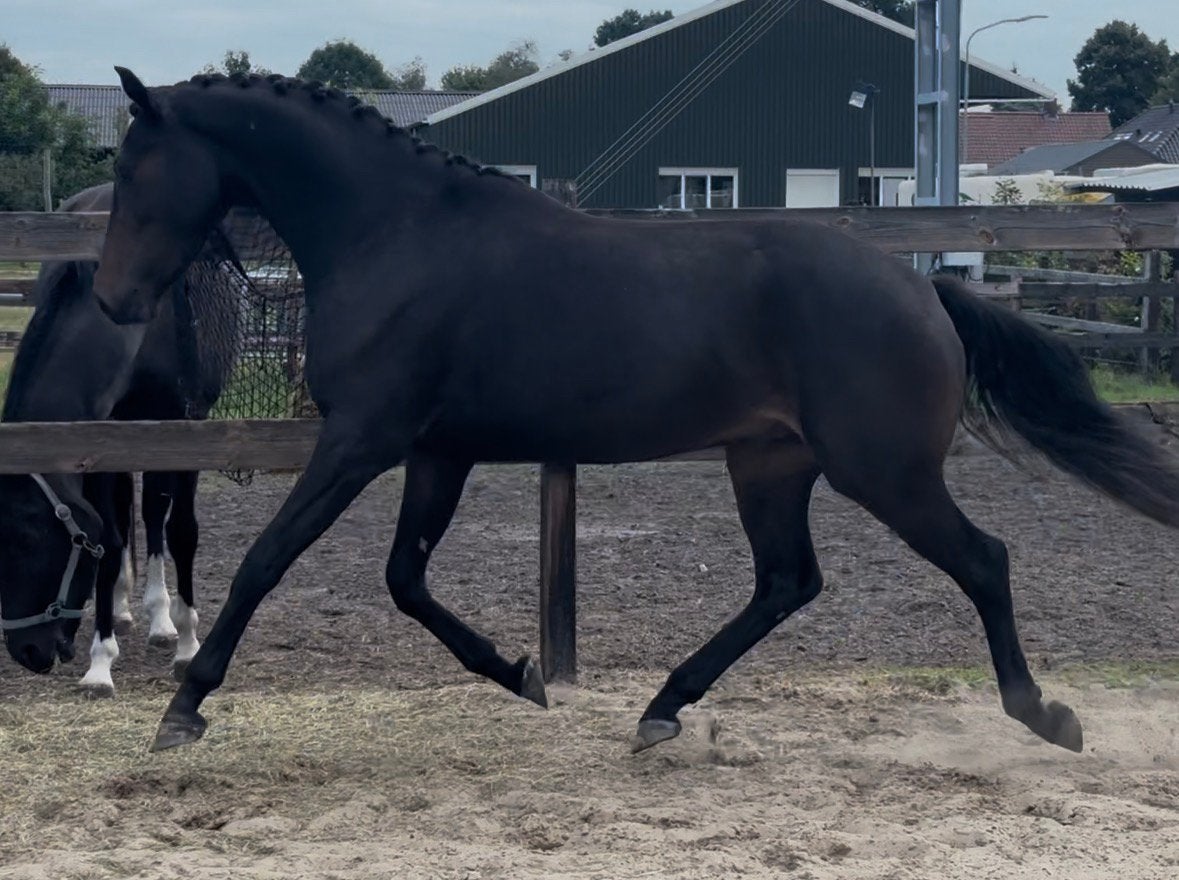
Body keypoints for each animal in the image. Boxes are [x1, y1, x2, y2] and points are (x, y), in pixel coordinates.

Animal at [0, 181, 240, 694]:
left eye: (28, 539)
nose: (26, 651)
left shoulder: (186, 429)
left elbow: (181, 530)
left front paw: (188, 644)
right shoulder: (100, 444)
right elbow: (108, 541)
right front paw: (100, 660)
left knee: (153, 514)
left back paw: (162, 620)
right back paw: (126, 608)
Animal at [89, 67, 1179, 755]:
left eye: (136, 168)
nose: (110, 300)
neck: (395, 234)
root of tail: (923, 290)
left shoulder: (363, 440)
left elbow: (270, 559)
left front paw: (184, 707)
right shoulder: (436, 451)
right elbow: (405, 580)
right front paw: (521, 672)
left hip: (884, 472)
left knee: (980, 560)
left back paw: (1045, 716)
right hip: (770, 463)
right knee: (787, 581)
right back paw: (662, 708)